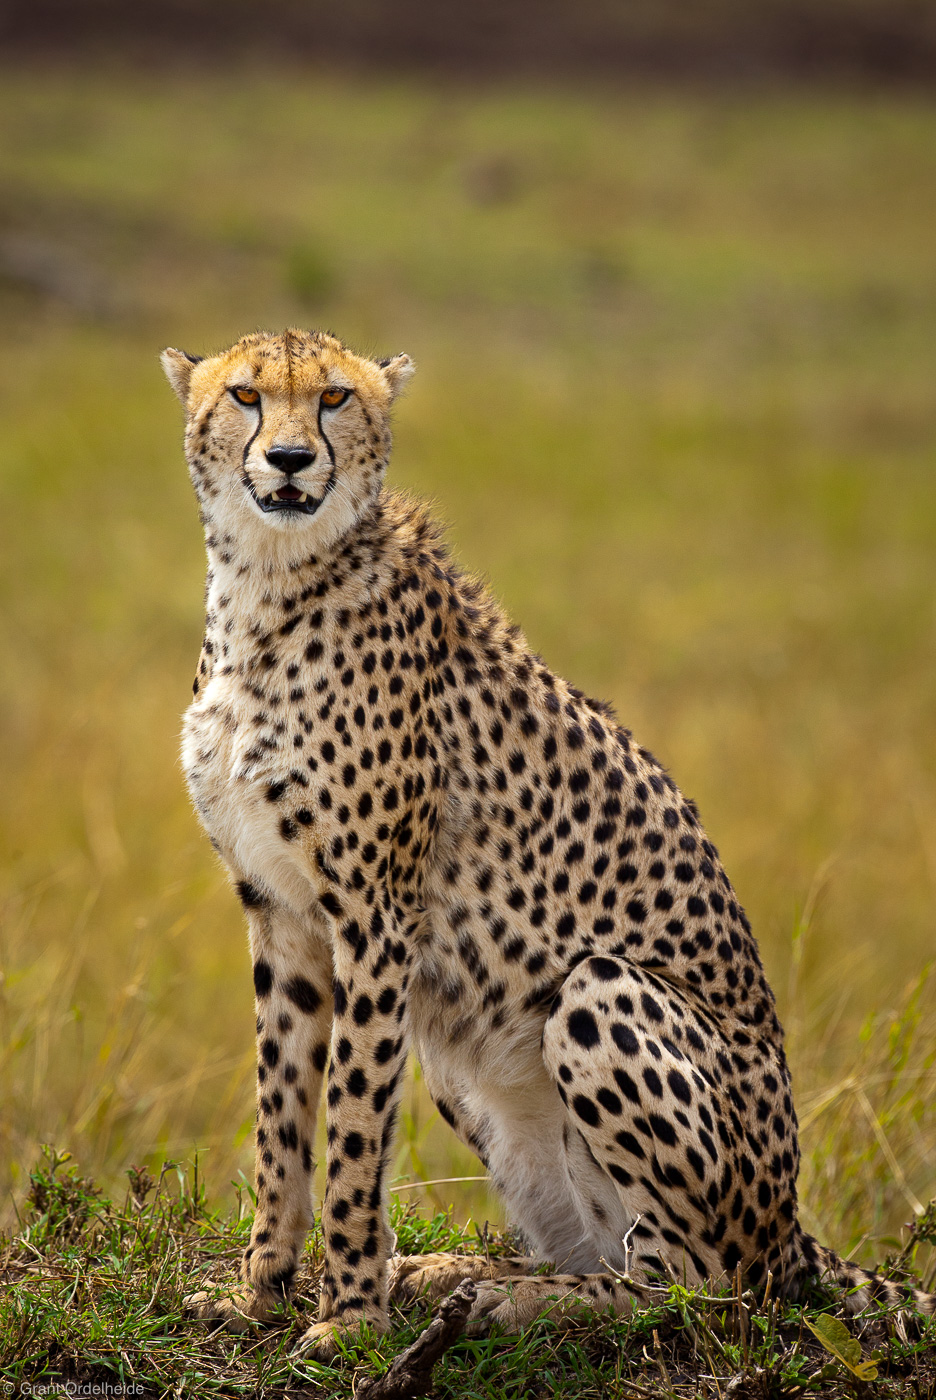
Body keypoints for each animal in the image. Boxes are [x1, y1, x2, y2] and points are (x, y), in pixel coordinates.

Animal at [164, 324, 929, 1355]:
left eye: (333, 399)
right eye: (245, 395)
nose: (288, 459)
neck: (269, 583)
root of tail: (791, 1227)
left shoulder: (375, 917)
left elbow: (353, 1129)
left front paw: (350, 1319)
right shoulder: (280, 912)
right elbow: (279, 1117)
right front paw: (260, 1292)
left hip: (599, 998)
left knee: (697, 1289)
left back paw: (520, 1300)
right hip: (463, 1059)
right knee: (604, 1250)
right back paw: (457, 1272)